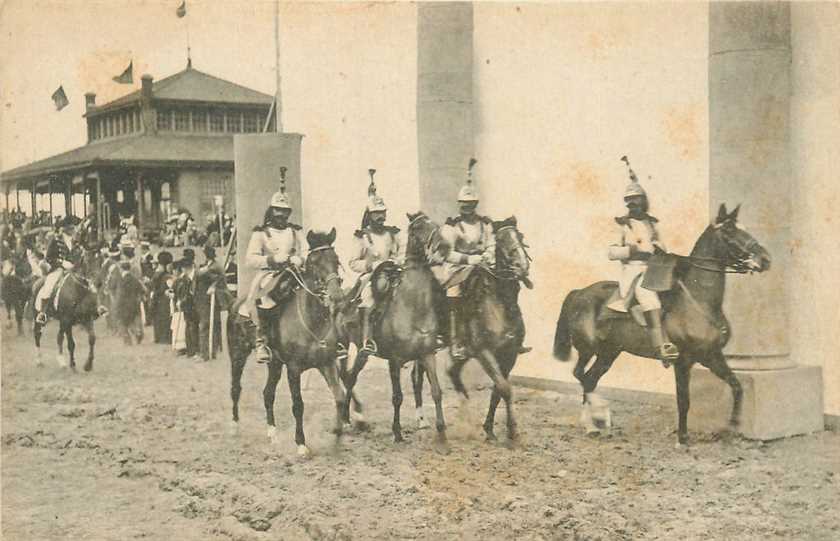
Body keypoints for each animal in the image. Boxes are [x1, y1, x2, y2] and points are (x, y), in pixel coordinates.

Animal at [225, 228, 346, 456]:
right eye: (314, 262)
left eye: (336, 259)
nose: (337, 296)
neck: (311, 320)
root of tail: (237, 302)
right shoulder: (294, 369)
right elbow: (298, 405)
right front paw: (301, 444)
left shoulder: (327, 363)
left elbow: (340, 397)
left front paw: (337, 435)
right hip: (238, 355)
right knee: (236, 388)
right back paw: (235, 426)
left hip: (274, 363)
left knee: (267, 393)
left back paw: (272, 434)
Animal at [338, 213, 452, 446]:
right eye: (417, 228)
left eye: (436, 225)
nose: (442, 248)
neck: (413, 306)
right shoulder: (395, 360)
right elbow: (397, 396)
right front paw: (397, 432)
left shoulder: (427, 354)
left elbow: (436, 391)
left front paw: (441, 433)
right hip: (349, 347)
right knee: (350, 377)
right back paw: (346, 419)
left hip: (361, 353)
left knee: (351, 376)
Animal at [446, 215, 532, 438]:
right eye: (500, 241)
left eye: (520, 237)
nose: (521, 266)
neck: (501, 305)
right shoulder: (484, 352)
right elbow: (504, 388)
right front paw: (512, 433)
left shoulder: (510, 354)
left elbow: (498, 390)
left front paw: (491, 429)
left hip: (463, 355)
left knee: (453, 373)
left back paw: (467, 417)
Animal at [556, 205, 772, 446]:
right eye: (729, 232)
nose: (764, 259)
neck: (699, 301)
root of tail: (579, 293)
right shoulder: (683, 361)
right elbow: (684, 400)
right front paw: (682, 438)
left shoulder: (712, 356)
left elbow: (736, 385)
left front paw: (732, 426)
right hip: (588, 348)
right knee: (581, 376)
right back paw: (595, 420)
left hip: (609, 353)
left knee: (589, 379)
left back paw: (596, 423)